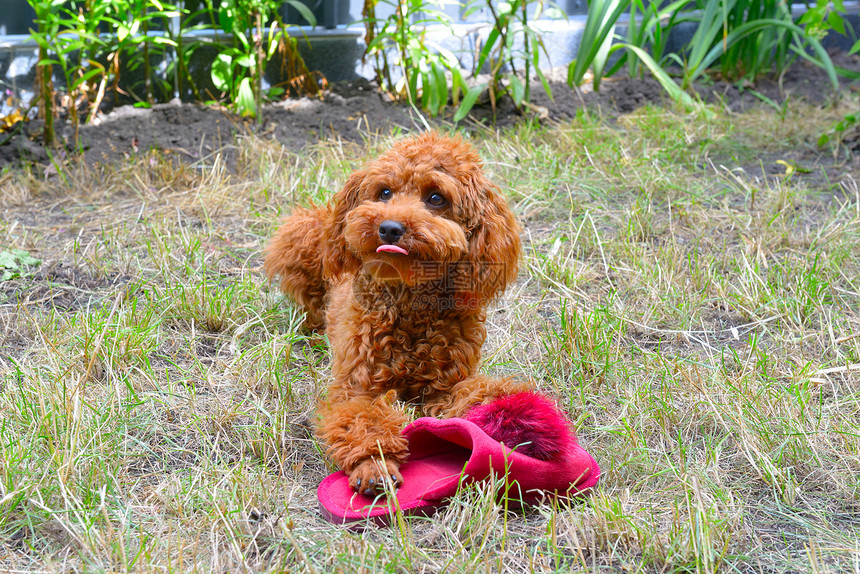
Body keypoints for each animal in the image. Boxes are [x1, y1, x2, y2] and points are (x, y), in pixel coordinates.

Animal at [264, 133, 532, 498]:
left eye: (436, 198)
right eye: (384, 193)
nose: (389, 228)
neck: (409, 303)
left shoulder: (444, 387)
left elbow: (472, 397)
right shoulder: (357, 388)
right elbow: (363, 421)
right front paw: (374, 465)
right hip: (302, 237)